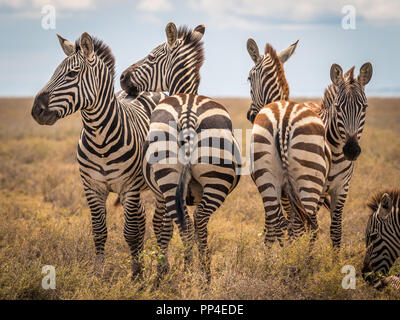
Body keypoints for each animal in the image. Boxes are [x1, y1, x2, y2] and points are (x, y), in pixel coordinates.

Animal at [30, 33, 167, 280]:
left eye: (72, 74)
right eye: (54, 71)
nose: (36, 111)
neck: (99, 136)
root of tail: (150, 89)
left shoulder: (129, 187)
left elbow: (130, 232)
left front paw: (137, 276)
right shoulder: (92, 187)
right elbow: (99, 231)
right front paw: (98, 275)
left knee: (157, 222)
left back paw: (162, 265)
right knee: (142, 219)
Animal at [120, 23, 241, 282]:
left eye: (151, 56)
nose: (122, 77)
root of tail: (188, 111)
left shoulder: (159, 194)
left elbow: (163, 229)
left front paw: (161, 272)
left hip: (170, 180)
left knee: (188, 224)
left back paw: (193, 274)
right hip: (215, 180)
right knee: (198, 221)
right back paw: (201, 275)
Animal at [247, 39, 332, 242]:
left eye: (248, 78)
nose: (250, 115)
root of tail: (283, 118)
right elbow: (294, 225)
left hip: (267, 177)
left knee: (279, 222)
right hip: (309, 180)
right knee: (303, 225)